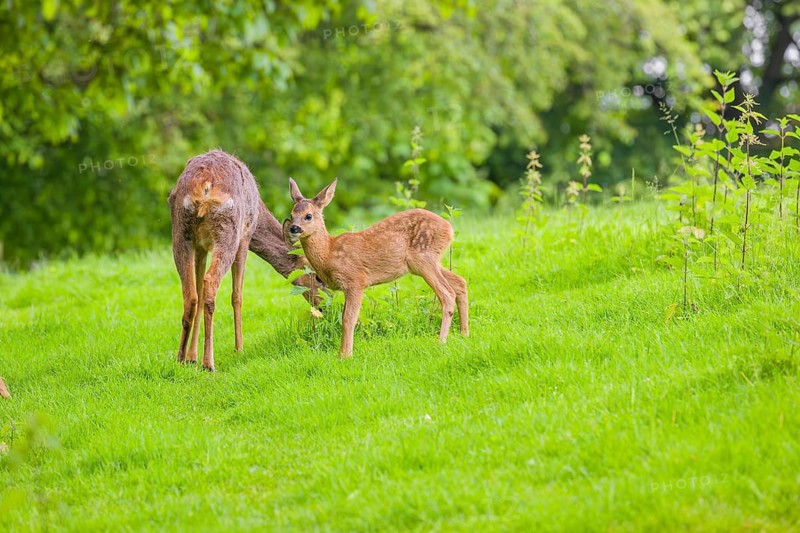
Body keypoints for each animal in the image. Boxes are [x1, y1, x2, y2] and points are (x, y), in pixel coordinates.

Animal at [168, 150, 320, 372]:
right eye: (316, 276)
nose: (323, 304)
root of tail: (205, 185)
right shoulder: (245, 237)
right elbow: (237, 295)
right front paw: (239, 349)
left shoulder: (201, 247)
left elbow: (199, 290)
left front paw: (191, 357)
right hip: (228, 232)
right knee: (210, 284)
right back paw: (209, 363)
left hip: (181, 232)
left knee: (191, 294)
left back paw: (180, 358)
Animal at [286, 177, 469, 358]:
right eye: (291, 214)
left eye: (308, 216)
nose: (294, 228)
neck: (329, 252)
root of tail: (449, 229)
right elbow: (345, 317)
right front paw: (341, 354)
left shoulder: (355, 280)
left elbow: (348, 319)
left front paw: (345, 356)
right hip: (425, 263)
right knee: (460, 282)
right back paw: (464, 334)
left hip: (424, 258)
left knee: (447, 293)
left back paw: (441, 341)